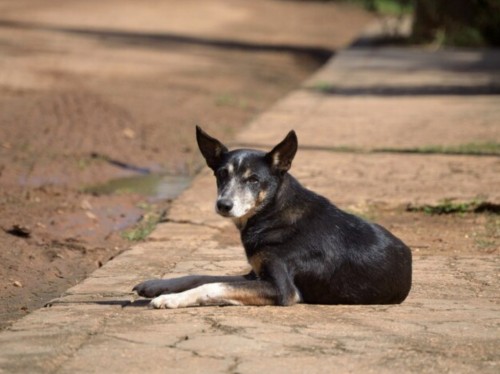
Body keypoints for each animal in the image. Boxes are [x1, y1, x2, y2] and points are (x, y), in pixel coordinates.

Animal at [133, 125, 410, 306]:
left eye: (253, 179)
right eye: (221, 174)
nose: (223, 205)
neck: (273, 212)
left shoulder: (281, 289)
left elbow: (212, 285)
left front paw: (170, 299)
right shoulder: (254, 274)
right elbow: (200, 276)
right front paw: (156, 285)